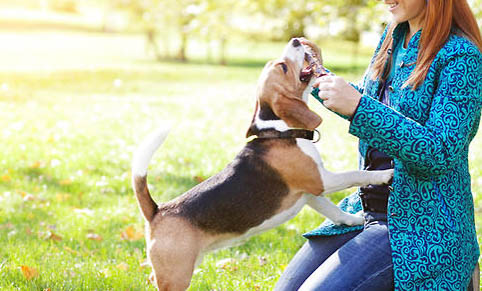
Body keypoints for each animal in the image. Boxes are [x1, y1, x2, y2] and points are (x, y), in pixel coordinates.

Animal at [131, 38, 392, 290]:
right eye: (283, 67)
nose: (296, 39)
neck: (280, 131)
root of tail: (157, 211)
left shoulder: (310, 193)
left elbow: (334, 211)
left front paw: (355, 221)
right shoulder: (321, 181)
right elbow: (355, 174)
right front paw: (385, 174)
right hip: (177, 275)